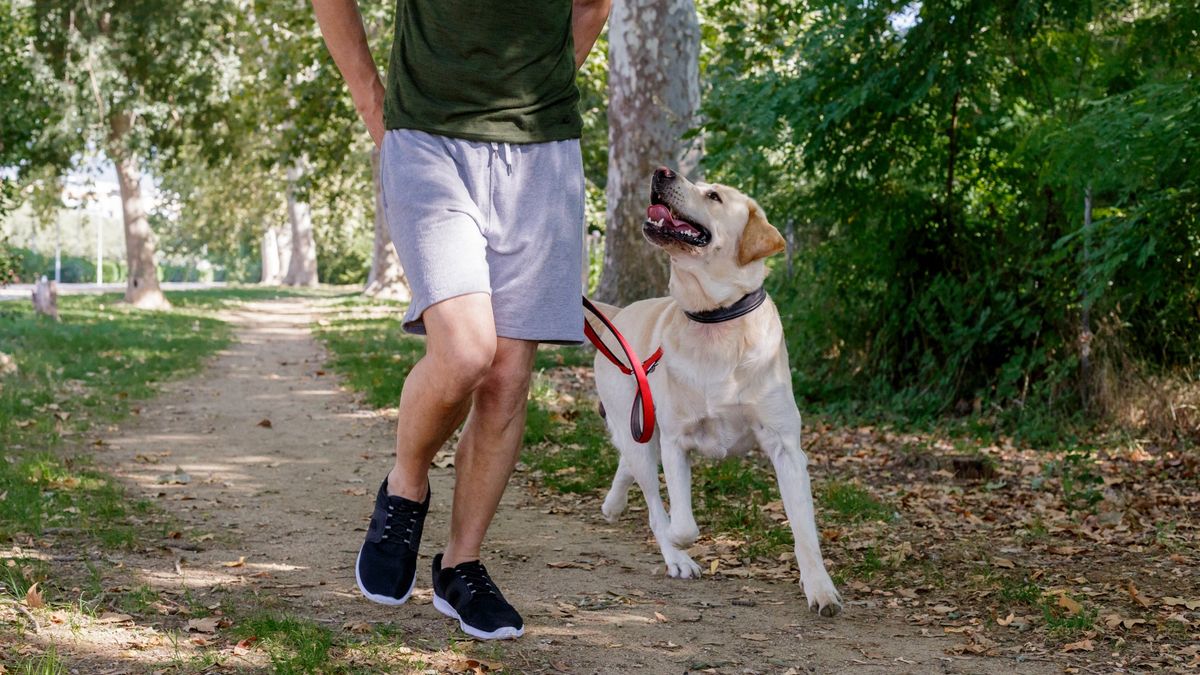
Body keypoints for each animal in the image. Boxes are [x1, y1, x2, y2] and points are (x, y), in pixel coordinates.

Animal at [590, 166, 844, 614]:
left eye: (714, 196)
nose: (661, 171)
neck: (715, 320)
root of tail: (619, 313)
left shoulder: (786, 448)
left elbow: (805, 531)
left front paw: (820, 588)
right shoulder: (675, 441)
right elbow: (681, 523)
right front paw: (679, 543)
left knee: (629, 465)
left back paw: (613, 504)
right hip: (637, 425)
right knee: (649, 493)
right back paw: (673, 555)